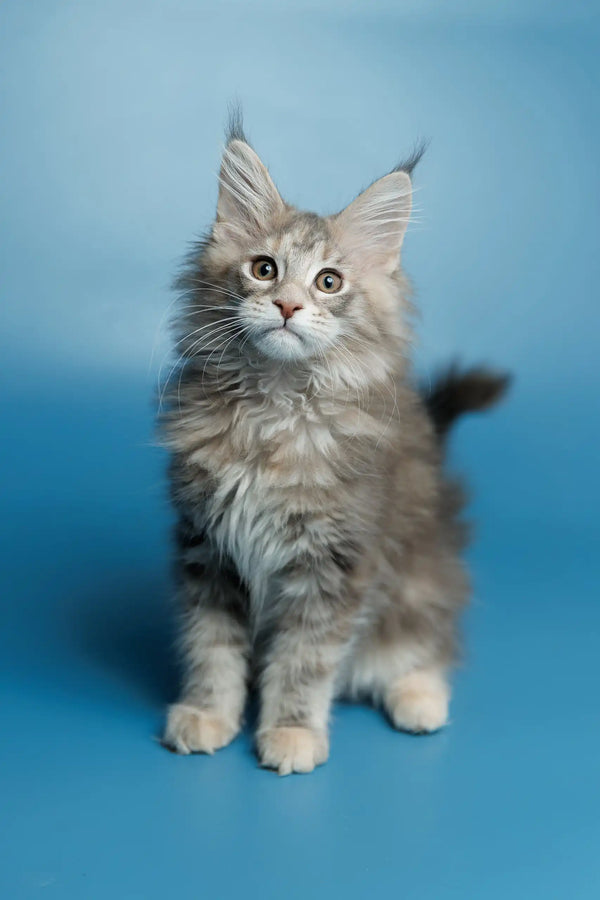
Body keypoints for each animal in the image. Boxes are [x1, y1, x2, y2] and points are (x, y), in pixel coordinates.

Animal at [158, 114, 506, 772]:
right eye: (264, 269)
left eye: (328, 281)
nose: (288, 305)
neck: (273, 409)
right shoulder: (208, 548)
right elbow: (210, 645)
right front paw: (208, 713)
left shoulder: (335, 562)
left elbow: (304, 660)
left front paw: (292, 732)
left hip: (420, 579)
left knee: (425, 643)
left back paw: (420, 698)